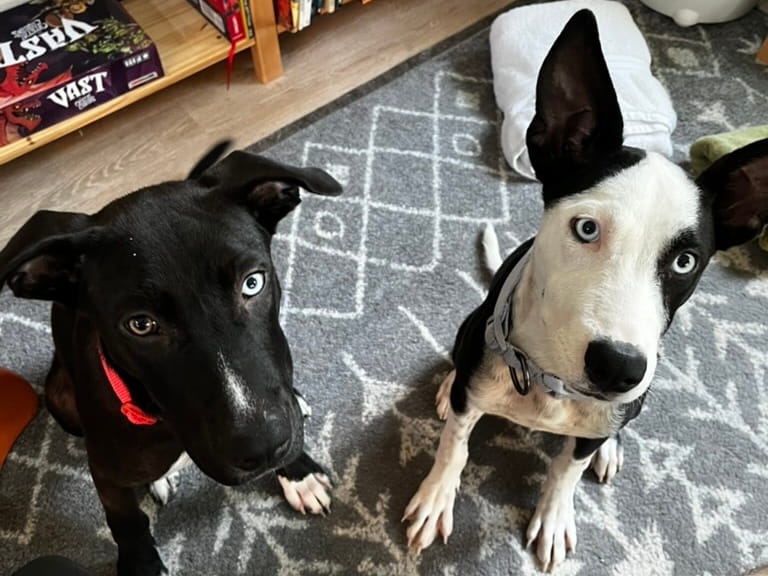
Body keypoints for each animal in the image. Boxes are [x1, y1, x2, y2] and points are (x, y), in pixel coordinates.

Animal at [0, 144, 342, 576]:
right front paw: (142, 564)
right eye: (141, 325)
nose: (264, 449)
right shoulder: (106, 473)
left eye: (253, 282)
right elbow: (126, 520)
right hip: (61, 398)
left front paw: (299, 473)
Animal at [402, 9, 768, 572]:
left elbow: (567, 467)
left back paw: (609, 444)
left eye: (685, 261)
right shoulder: (476, 393)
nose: (618, 367)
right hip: (471, 328)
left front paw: (555, 514)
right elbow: (455, 444)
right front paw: (437, 495)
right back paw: (446, 387)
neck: (550, 384)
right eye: (586, 229)